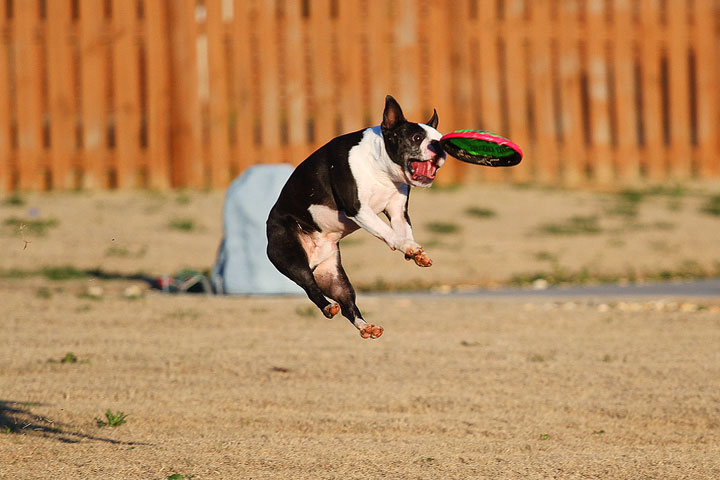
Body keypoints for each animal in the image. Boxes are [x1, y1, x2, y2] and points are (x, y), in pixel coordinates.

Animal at [266, 96, 444, 338]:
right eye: (416, 138)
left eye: (441, 139)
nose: (439, 147)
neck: (380, 167)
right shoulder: (358, 209)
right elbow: (388, 232)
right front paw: (409, 248)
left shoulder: (398, 211)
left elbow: (404, 231)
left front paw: (415, 252)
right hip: (291, 257)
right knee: (311, 288)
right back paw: (328, 307)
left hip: (333, 275)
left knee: (348, 304)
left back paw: (366, 326)